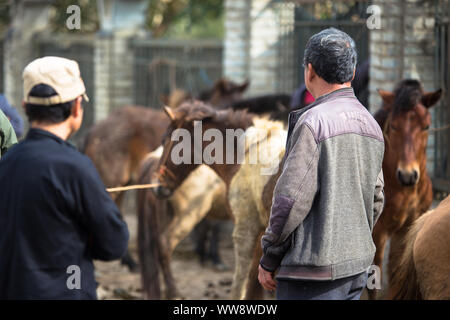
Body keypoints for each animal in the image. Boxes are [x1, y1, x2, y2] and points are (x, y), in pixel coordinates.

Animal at [370, 79, 442, 298]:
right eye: (393, 126)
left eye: (426, 126)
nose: (408, 175)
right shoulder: (379, 233)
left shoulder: (407, 230)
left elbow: (396, 276)